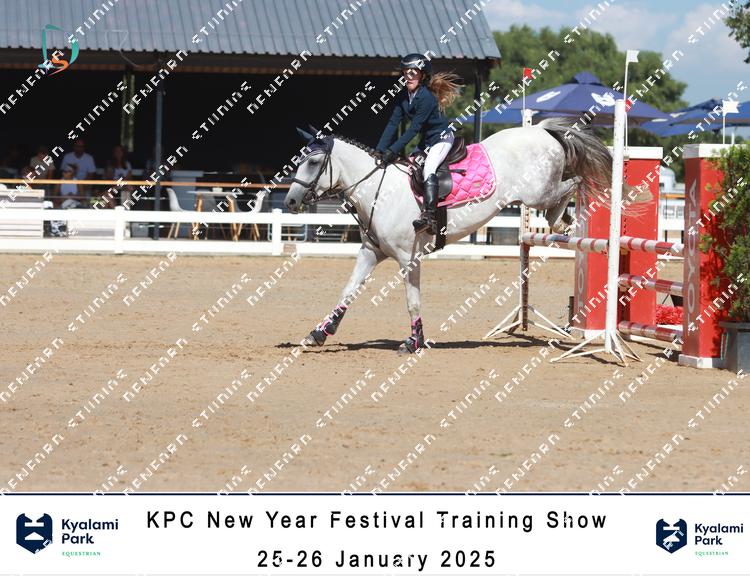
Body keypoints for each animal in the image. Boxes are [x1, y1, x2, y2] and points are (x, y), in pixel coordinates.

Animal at [284, 120, 629, 353]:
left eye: (313, 162)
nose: (290, 201)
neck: (377, 191)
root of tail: (542, 131)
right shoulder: (371, 252)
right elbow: (348, 291)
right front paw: (320, 332)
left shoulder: (408, 259)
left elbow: (412, 301)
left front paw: (414, 341)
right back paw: (562, 221)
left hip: (539, 191)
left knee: (575, 182)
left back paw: (564, 221)